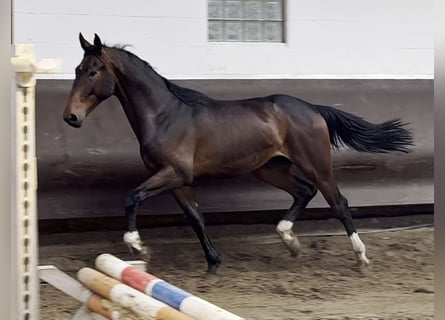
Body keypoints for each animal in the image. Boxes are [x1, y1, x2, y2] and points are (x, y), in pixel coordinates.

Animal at [62, 33, 412, 274]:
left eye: (93, 71)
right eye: (78, 69)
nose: (71, 117)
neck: (164, 116)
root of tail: (313, 108)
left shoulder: (174, 173)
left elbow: (132, 197)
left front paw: (138, 247)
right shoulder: (179, 180)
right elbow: (195, 217)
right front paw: (213, 263)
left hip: (315, 163)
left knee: (338, 201)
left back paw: (361, 256)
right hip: (270, 167)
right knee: (304, 192)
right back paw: (290, 241)